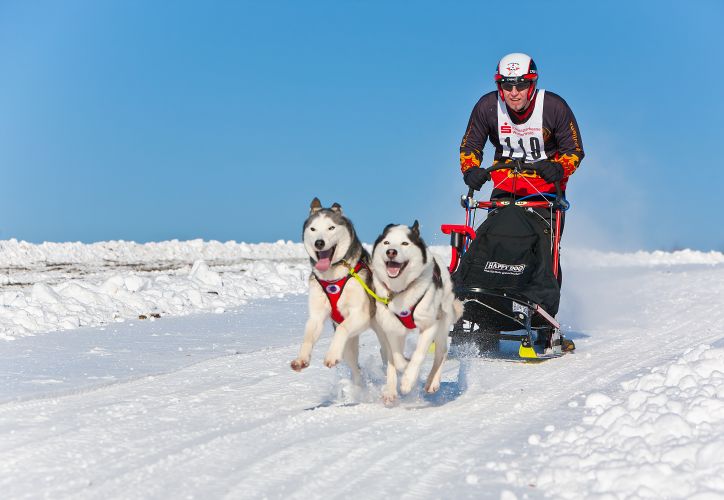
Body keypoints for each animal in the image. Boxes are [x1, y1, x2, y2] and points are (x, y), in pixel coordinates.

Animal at [290, 197, 388, 384]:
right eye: (313, 229)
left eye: (331, 227)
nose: (319, 242)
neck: (333, 278)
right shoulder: (316, 316)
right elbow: (307, 337)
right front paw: (301, 359)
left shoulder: (361, 314)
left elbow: (342, 328)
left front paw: (330, 355)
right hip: (351, 344)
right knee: (355, 367)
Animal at [374, 223, 464, 402]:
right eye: (387, 242)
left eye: (405, 243)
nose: (391, 252)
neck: (401, 290)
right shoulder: (392, 329)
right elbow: (396, 359)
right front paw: (403, 369)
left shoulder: (430, 325)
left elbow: (419, 355)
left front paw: (408, 381)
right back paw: (391, 390)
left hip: (442, 324)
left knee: (441, 352)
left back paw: (432, 382)